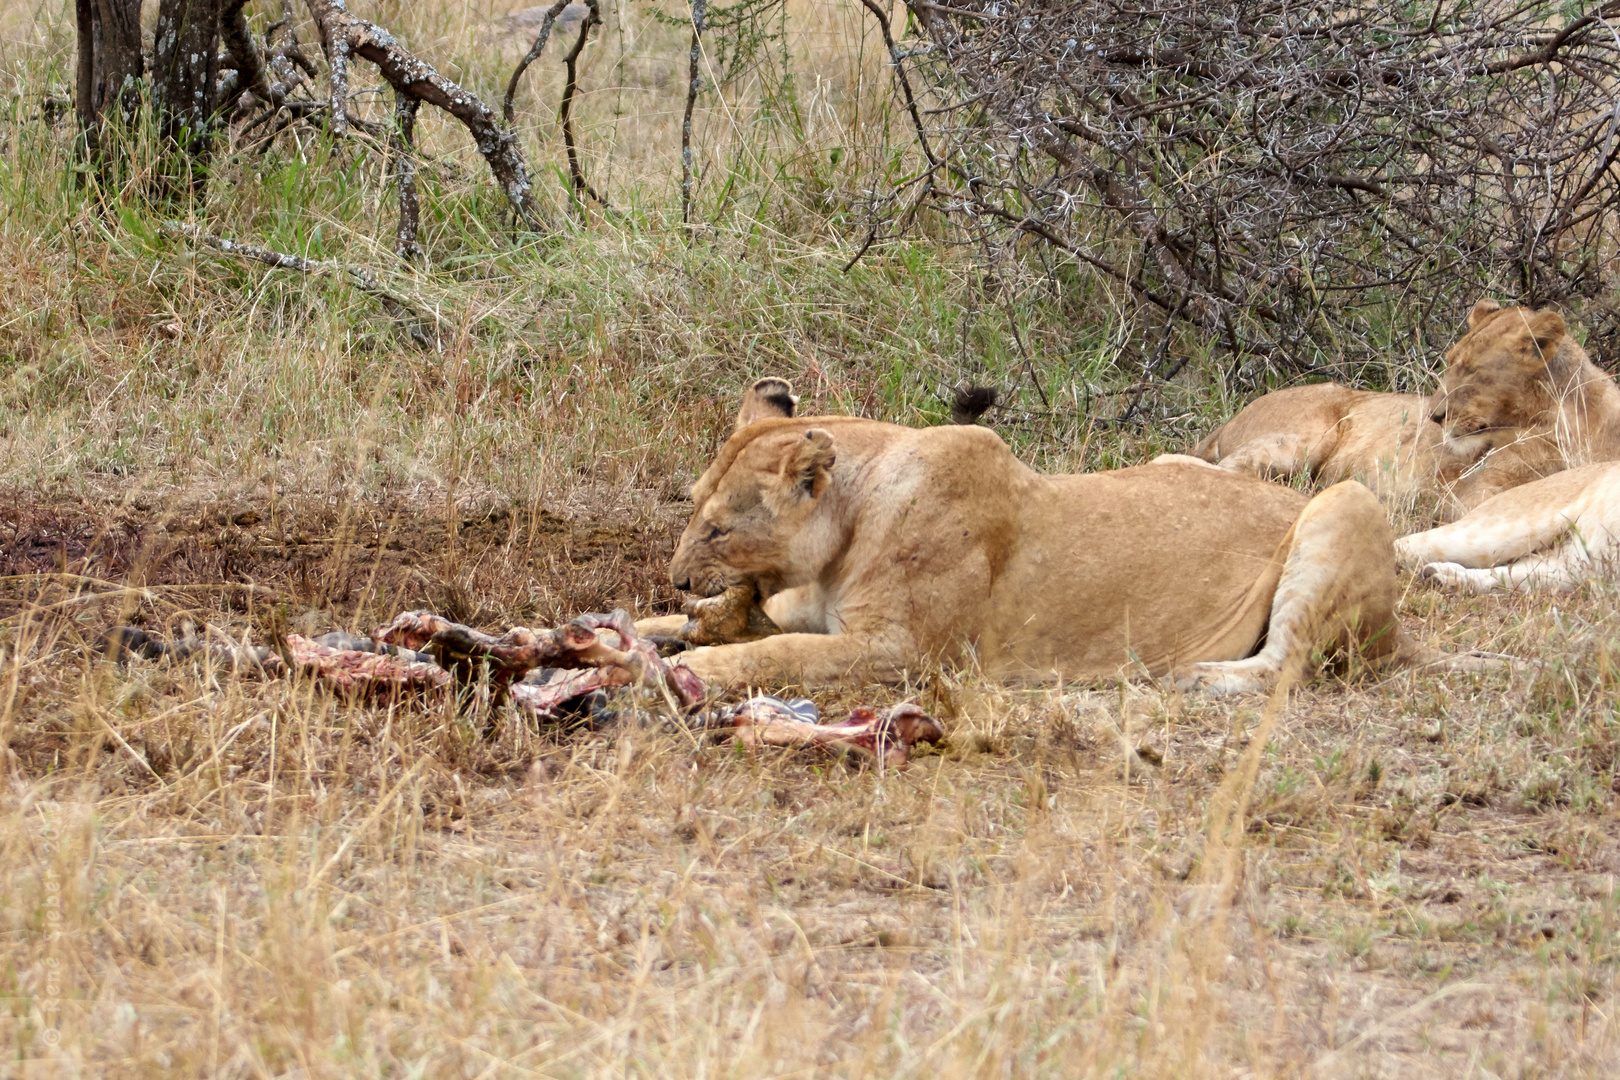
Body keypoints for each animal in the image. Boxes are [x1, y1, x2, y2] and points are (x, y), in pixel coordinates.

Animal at [635, 380, 1483, 693]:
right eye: (692, 508)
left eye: (717, 529)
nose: (677, 577)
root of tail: (1399, 633)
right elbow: (685, 623)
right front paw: (648, 629)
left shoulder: (907, 654)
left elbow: (776, 655)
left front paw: (691, 668)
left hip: (1345, 502)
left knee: (1284, 665)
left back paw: (1187, 675)